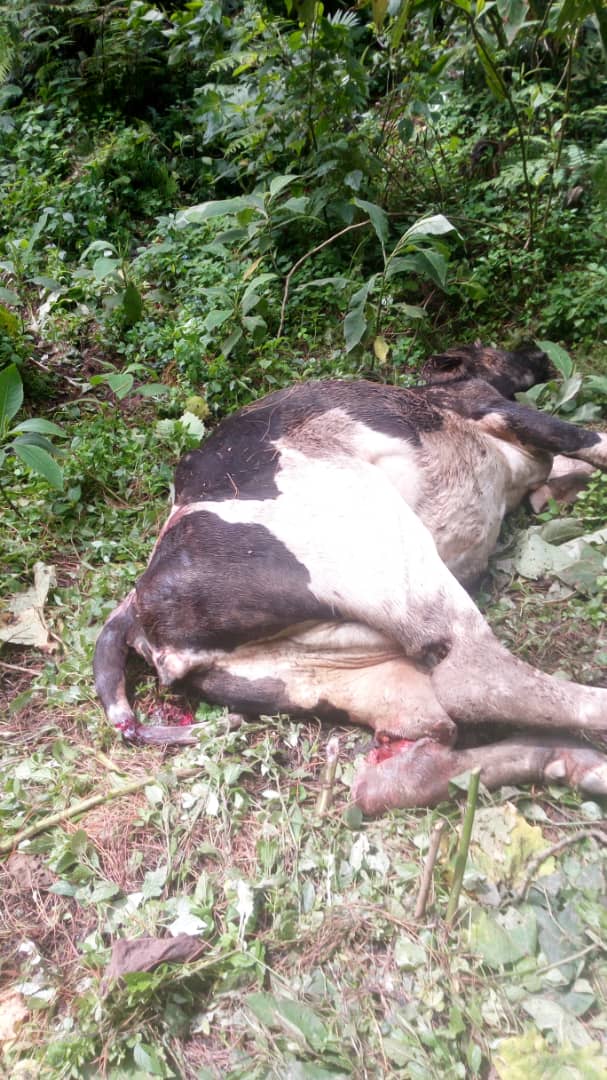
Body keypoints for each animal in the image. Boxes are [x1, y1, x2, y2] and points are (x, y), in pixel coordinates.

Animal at [93, 343, 607, 812]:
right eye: (487, 347)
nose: (538, 351)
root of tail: (136, 613)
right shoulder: (491, 407)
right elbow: (590, 440)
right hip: (380, 540)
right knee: (480, 678)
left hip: (328, 674)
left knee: (404, 770)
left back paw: (575, 763)